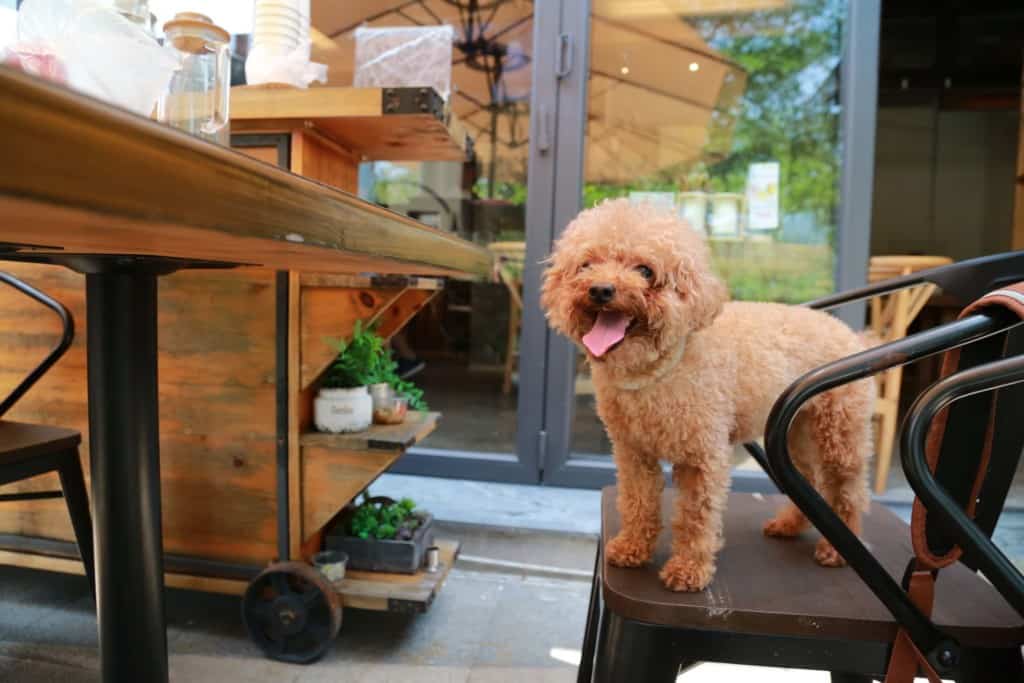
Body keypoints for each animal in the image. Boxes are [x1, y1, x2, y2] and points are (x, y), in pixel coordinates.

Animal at [544, 200, 872, 589]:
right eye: (587, 264)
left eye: (645, 270)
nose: (601, 290)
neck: (656, 371)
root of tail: (848, 331)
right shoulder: (633, 452)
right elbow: (638, 501)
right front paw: (632, 548)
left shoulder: (702, 457)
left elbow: (694, 517)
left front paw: (688, 570)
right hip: (796, 435)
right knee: (811, 481)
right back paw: (788, 525)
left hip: (839, 434)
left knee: (847, 489)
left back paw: (837, 550)